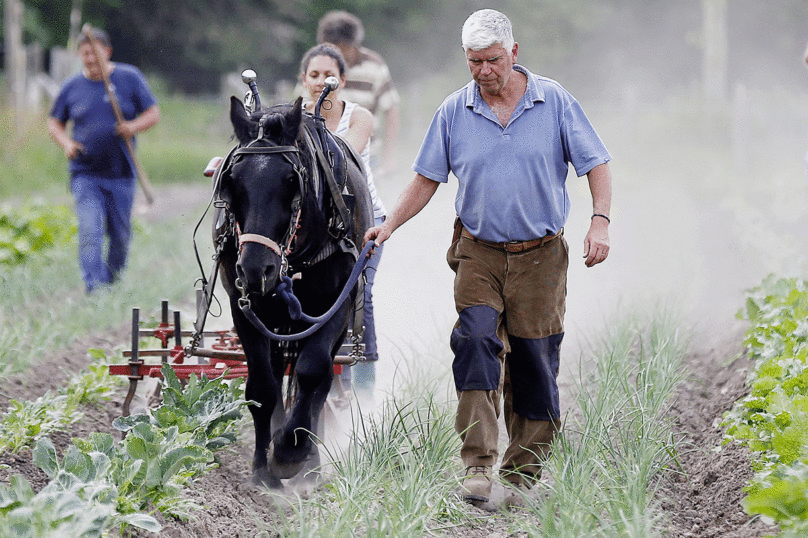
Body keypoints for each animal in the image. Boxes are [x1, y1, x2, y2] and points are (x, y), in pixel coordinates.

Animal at [213, 96, 374, 486]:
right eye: (232, 180)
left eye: (291, 180)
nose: (256, 269)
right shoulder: (244, 307)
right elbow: (262, 386)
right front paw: (263, 468)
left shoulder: (336, 305)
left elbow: (312, 372)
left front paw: (291, 452)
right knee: (275, 373)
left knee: (320, 382)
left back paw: (309, 462)